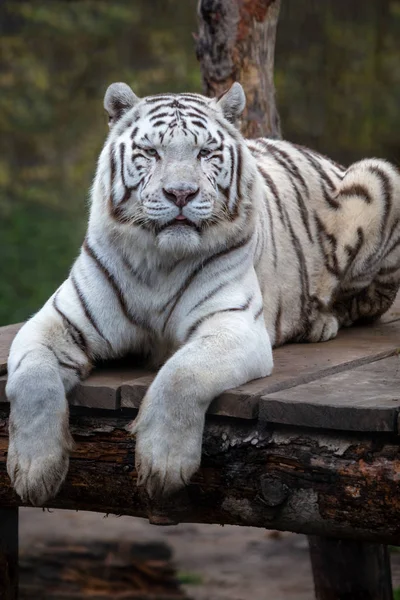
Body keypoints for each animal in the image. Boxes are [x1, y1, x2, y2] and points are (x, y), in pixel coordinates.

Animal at [5, 82, 400, 504]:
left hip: (379, 177)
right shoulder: (56, 320)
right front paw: (33, 471)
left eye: (205, 153)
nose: (181, 193)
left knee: (365, 303)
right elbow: (31, 382)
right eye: (152, 152)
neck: (157, 262)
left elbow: (182, 374)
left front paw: (162, 466)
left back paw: (318, 322)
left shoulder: (233, 325)